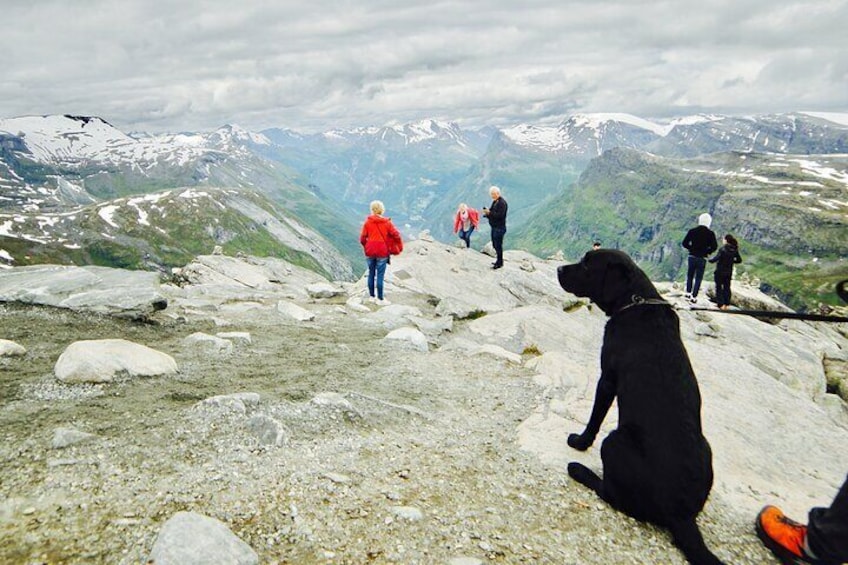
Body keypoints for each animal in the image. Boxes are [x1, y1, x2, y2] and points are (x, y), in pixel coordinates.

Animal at [556, 249, 724, 564]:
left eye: (587, 265)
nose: (559, 269)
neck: (635, 302)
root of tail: (681, 515)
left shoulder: (607, 379)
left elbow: (595, 418)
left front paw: (580, 442)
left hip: (615, 440)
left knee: (611, 494)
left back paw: (579, 470)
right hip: (708, 449)